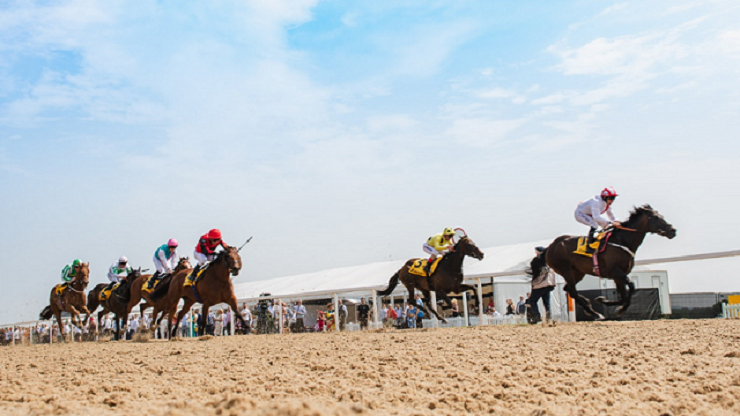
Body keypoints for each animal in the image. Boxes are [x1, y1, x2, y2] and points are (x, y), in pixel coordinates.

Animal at [528, 204, 676, 318]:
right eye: (656, 218)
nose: (673, 231)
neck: (622, 241)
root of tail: (549, 247)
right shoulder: (615, 272)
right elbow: (632, 286)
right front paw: (618, 308)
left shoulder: (618, 276)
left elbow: (623, 296)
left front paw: (604, 301)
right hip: (566, 270)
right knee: (572, 291)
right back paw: (594, 313)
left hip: (578, 272)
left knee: (568, 289)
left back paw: (589, 308)